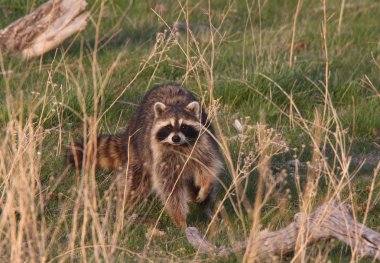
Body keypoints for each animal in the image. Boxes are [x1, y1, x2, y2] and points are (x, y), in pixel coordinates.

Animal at [67, 84, 223, 229]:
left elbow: (207, 168)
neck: (179, 147)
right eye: (168, 127)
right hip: (139, 150)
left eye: (184, 126)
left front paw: (204, 188)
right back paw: (126, 204)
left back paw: (205, 208)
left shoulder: (203, 145)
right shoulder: (161, 157)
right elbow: (170, 188)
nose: (176, 138)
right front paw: (180, 219)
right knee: (135, 181)